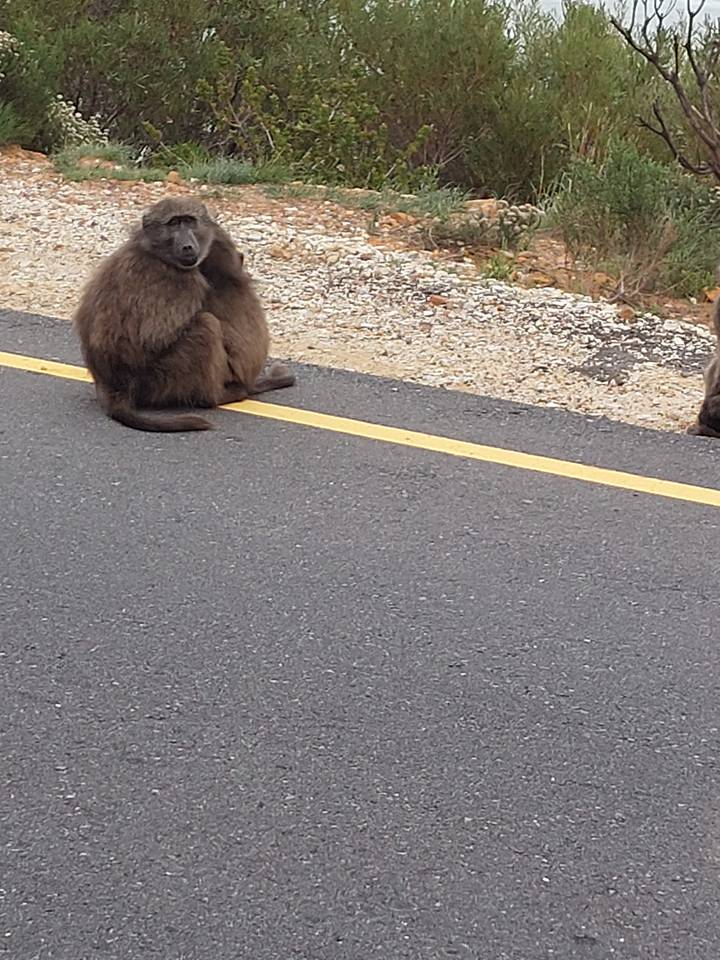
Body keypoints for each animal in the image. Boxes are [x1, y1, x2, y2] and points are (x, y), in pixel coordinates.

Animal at [73, 196, 294, 432]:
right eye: (173, 223)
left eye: (189, 221)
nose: (187, 246)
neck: (154, 252)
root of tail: (113, 388)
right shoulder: (184, 282)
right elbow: (153, 339)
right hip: (159, 380)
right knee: (206, 326)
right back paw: (220, 396)